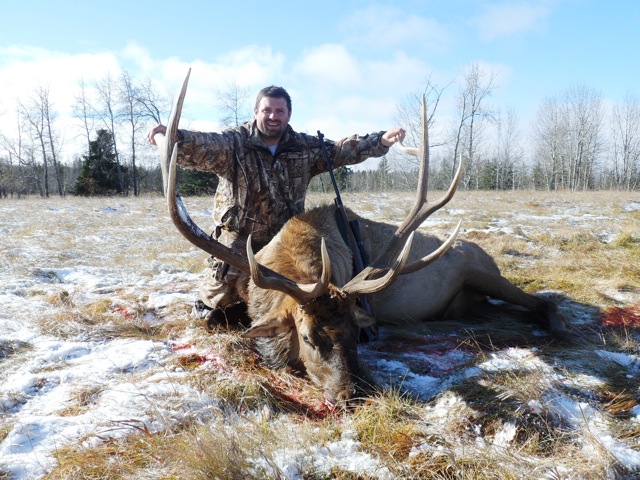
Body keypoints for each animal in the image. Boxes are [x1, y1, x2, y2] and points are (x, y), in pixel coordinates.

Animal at [156, 71, 568, 406]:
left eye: (356, 331)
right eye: (308, 337)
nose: (353, 392)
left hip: (482, 272)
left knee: (541, 301)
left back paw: (559, 328)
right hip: (466, 302)